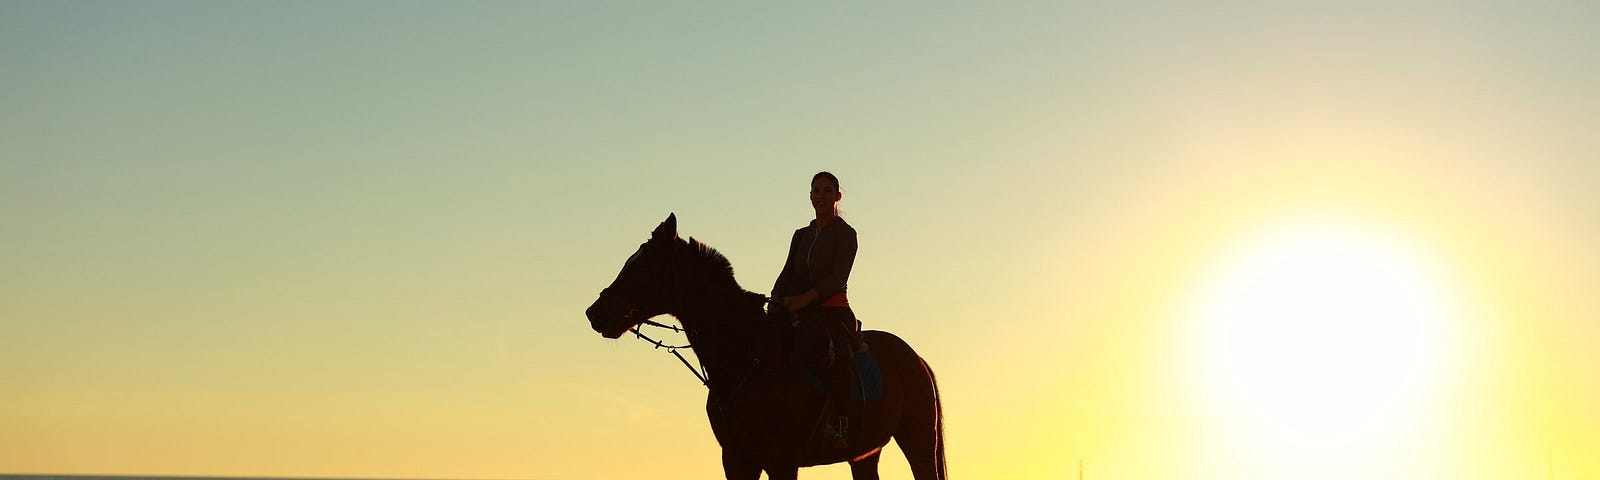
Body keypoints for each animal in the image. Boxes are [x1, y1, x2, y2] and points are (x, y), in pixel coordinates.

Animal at [585, 214, 934, 480]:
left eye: (647, 267)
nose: (595, 313)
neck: (747, 358)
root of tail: (917, 359)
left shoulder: (782, 461)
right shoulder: (737, 460)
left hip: (918, 441)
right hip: (864, 454)